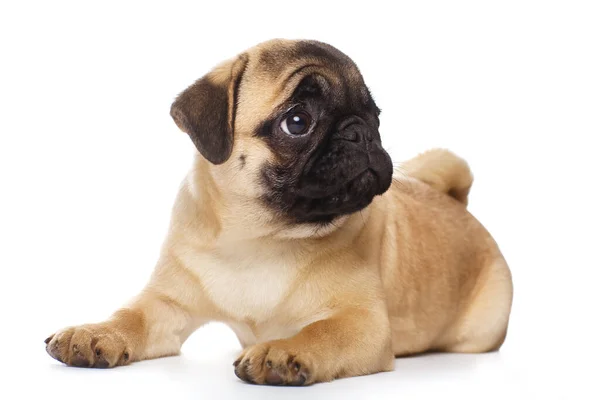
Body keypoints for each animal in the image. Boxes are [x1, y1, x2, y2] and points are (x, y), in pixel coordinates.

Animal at [45, 39, 510, 386]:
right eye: (297, 121)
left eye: (375, 117)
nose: (360, 131)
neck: (259, 238)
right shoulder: (167, 304)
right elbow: (131, 315)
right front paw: (95, 333)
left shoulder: (361, 321)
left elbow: (321, 330)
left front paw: (284, 351)